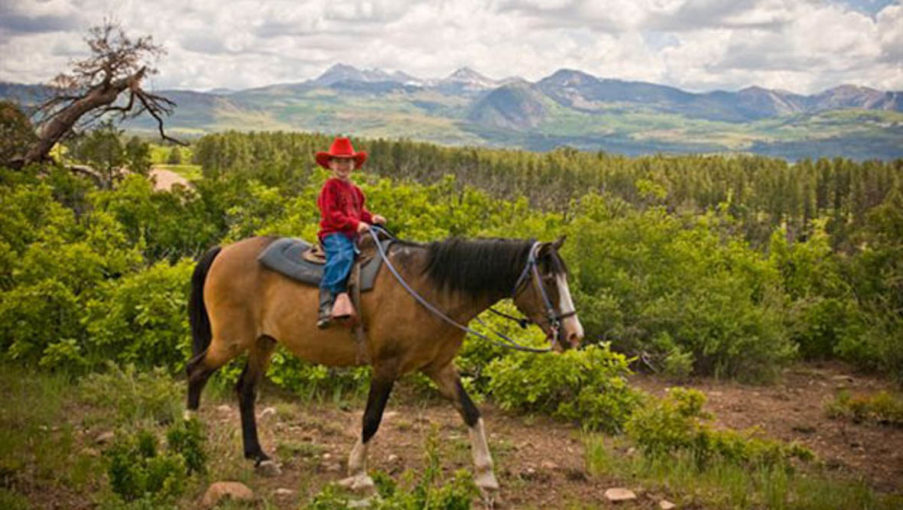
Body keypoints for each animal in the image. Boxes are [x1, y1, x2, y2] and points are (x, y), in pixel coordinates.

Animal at [184, 234, 588, 498]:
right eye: (548, 279)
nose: (573, 335)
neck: (431, 290)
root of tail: (224, 250)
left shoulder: (440, 367)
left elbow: (472, 414)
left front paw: (487, 480)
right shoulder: (386, 366)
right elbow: (371, 419)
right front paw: (359, 476)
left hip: (263, 342)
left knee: (246, 389)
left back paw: (258, 456)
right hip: (230, 340)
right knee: (196, 371)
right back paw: (187, 445)